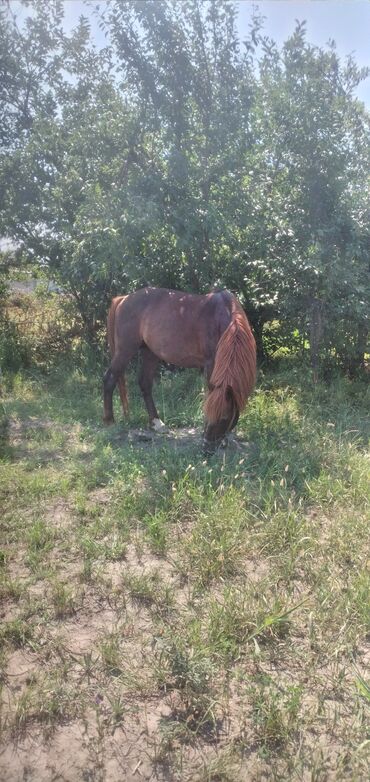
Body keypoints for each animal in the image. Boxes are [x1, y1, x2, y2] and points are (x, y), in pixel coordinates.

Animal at [102, 288, 256, 450]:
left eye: (225, 417)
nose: (206, 447)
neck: (223, 318)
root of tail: (124, 299)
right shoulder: (210, 363)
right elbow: (209, 394)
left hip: (150, 353)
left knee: (144, 383)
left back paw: (156, 423)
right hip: (125, 350)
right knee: (109, 378)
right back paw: (109, 421)